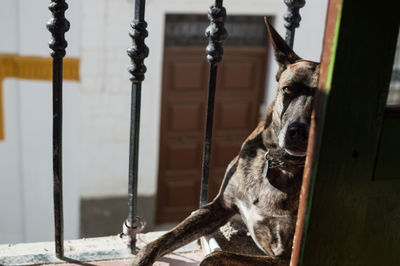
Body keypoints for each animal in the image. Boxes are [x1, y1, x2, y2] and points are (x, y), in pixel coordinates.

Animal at [133, 19, 320, 266]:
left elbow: (215, 256)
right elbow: (161, 240)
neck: (278, 163)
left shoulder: (285, 257)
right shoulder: (218, 206)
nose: (297, 132)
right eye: (288, 89)